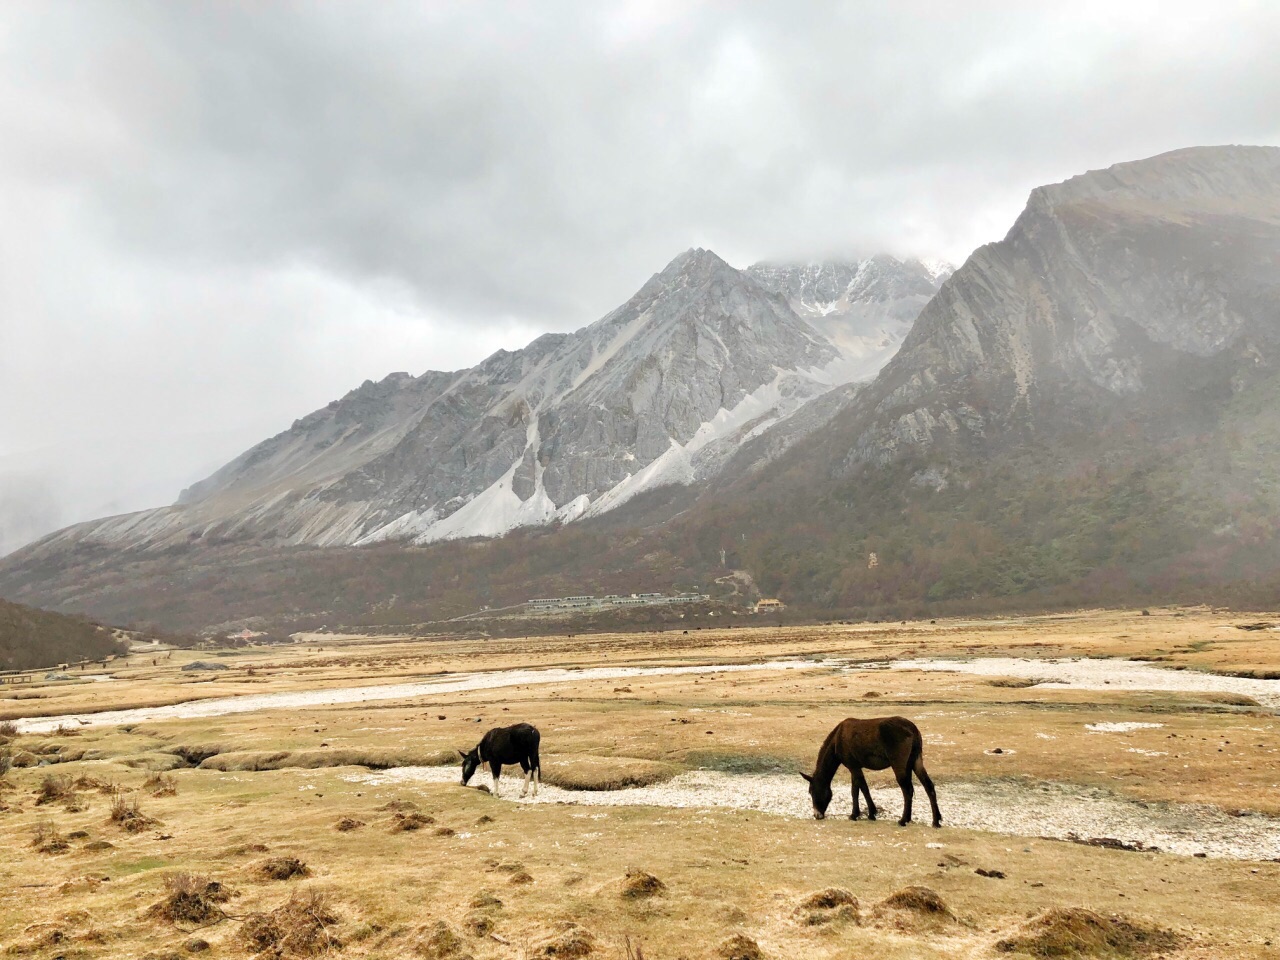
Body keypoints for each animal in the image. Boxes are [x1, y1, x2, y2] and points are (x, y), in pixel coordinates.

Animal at [798, 721, 942, 829]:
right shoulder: (854, 767)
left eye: (812, 792)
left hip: (899, 765)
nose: (817, 815)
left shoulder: (854, 767)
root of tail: (913, 729)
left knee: (907, 790)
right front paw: (854, 814)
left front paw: (871, 813)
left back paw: (903, 820)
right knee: (928, 787)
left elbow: (863, 788)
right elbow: (855, 790)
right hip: (915, 762)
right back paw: (935, 821)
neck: (837, 739)